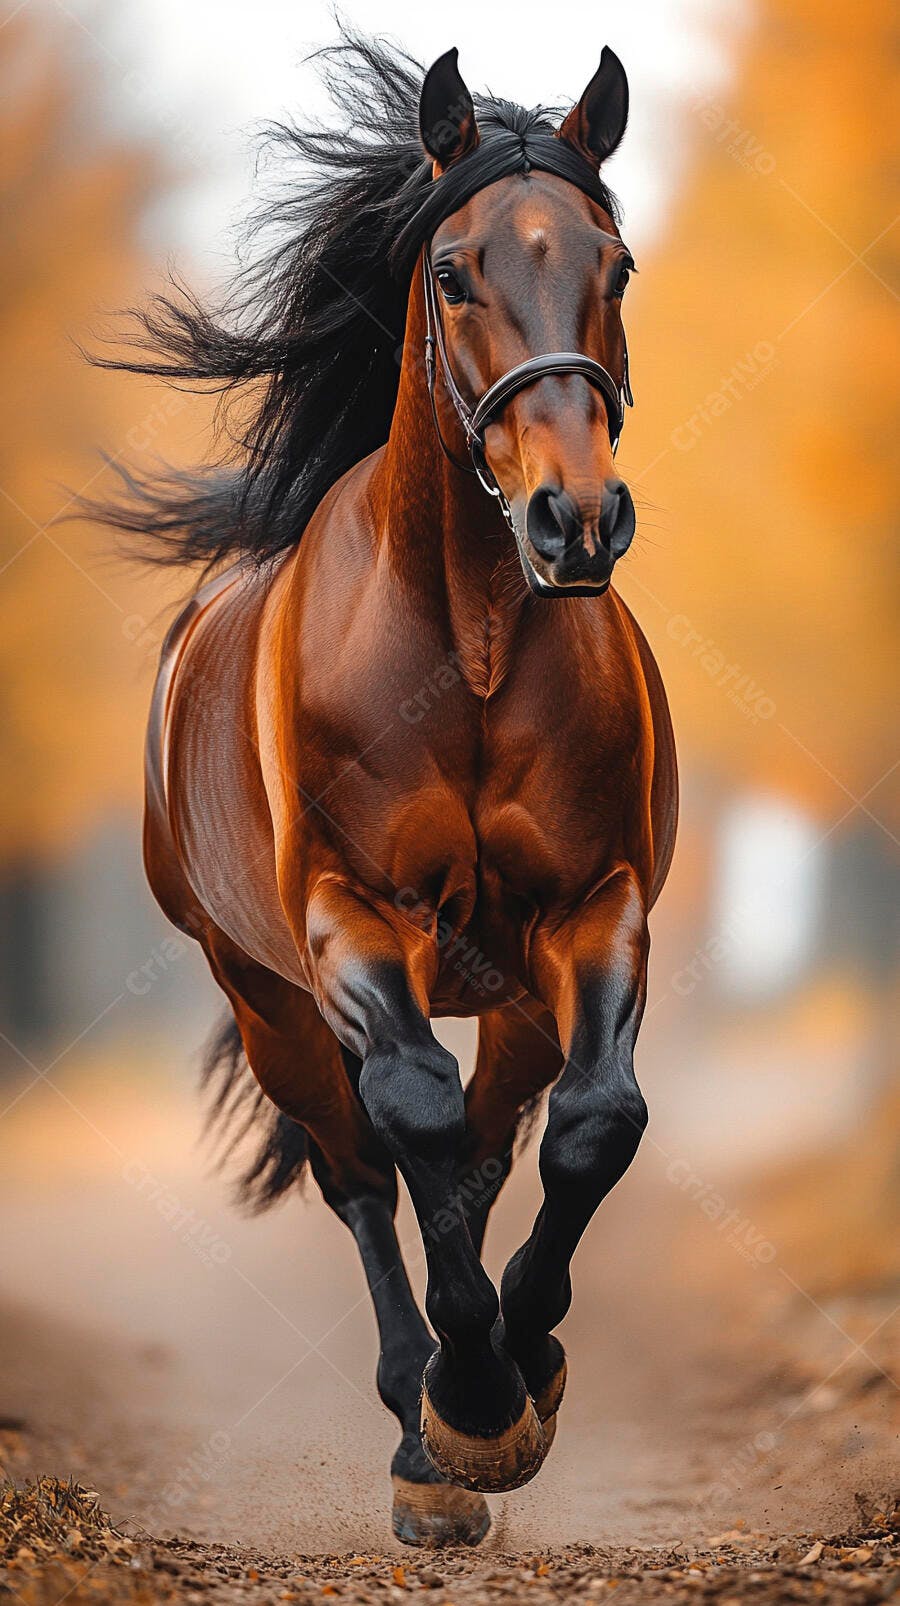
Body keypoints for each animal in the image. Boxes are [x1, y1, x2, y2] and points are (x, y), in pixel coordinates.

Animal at [97, 32, 677, 1547]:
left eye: (616, 264)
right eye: (456, 272)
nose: (575, 521)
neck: (463, 653)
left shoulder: (593, 906)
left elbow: (593, 1124)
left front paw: (523, 1373)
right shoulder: (348, 917)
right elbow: (406, 1113)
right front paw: (462, 1411)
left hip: (514, 989)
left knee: (488, 1143)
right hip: (266, 998)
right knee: (363, 1169)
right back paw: (421, 1421)